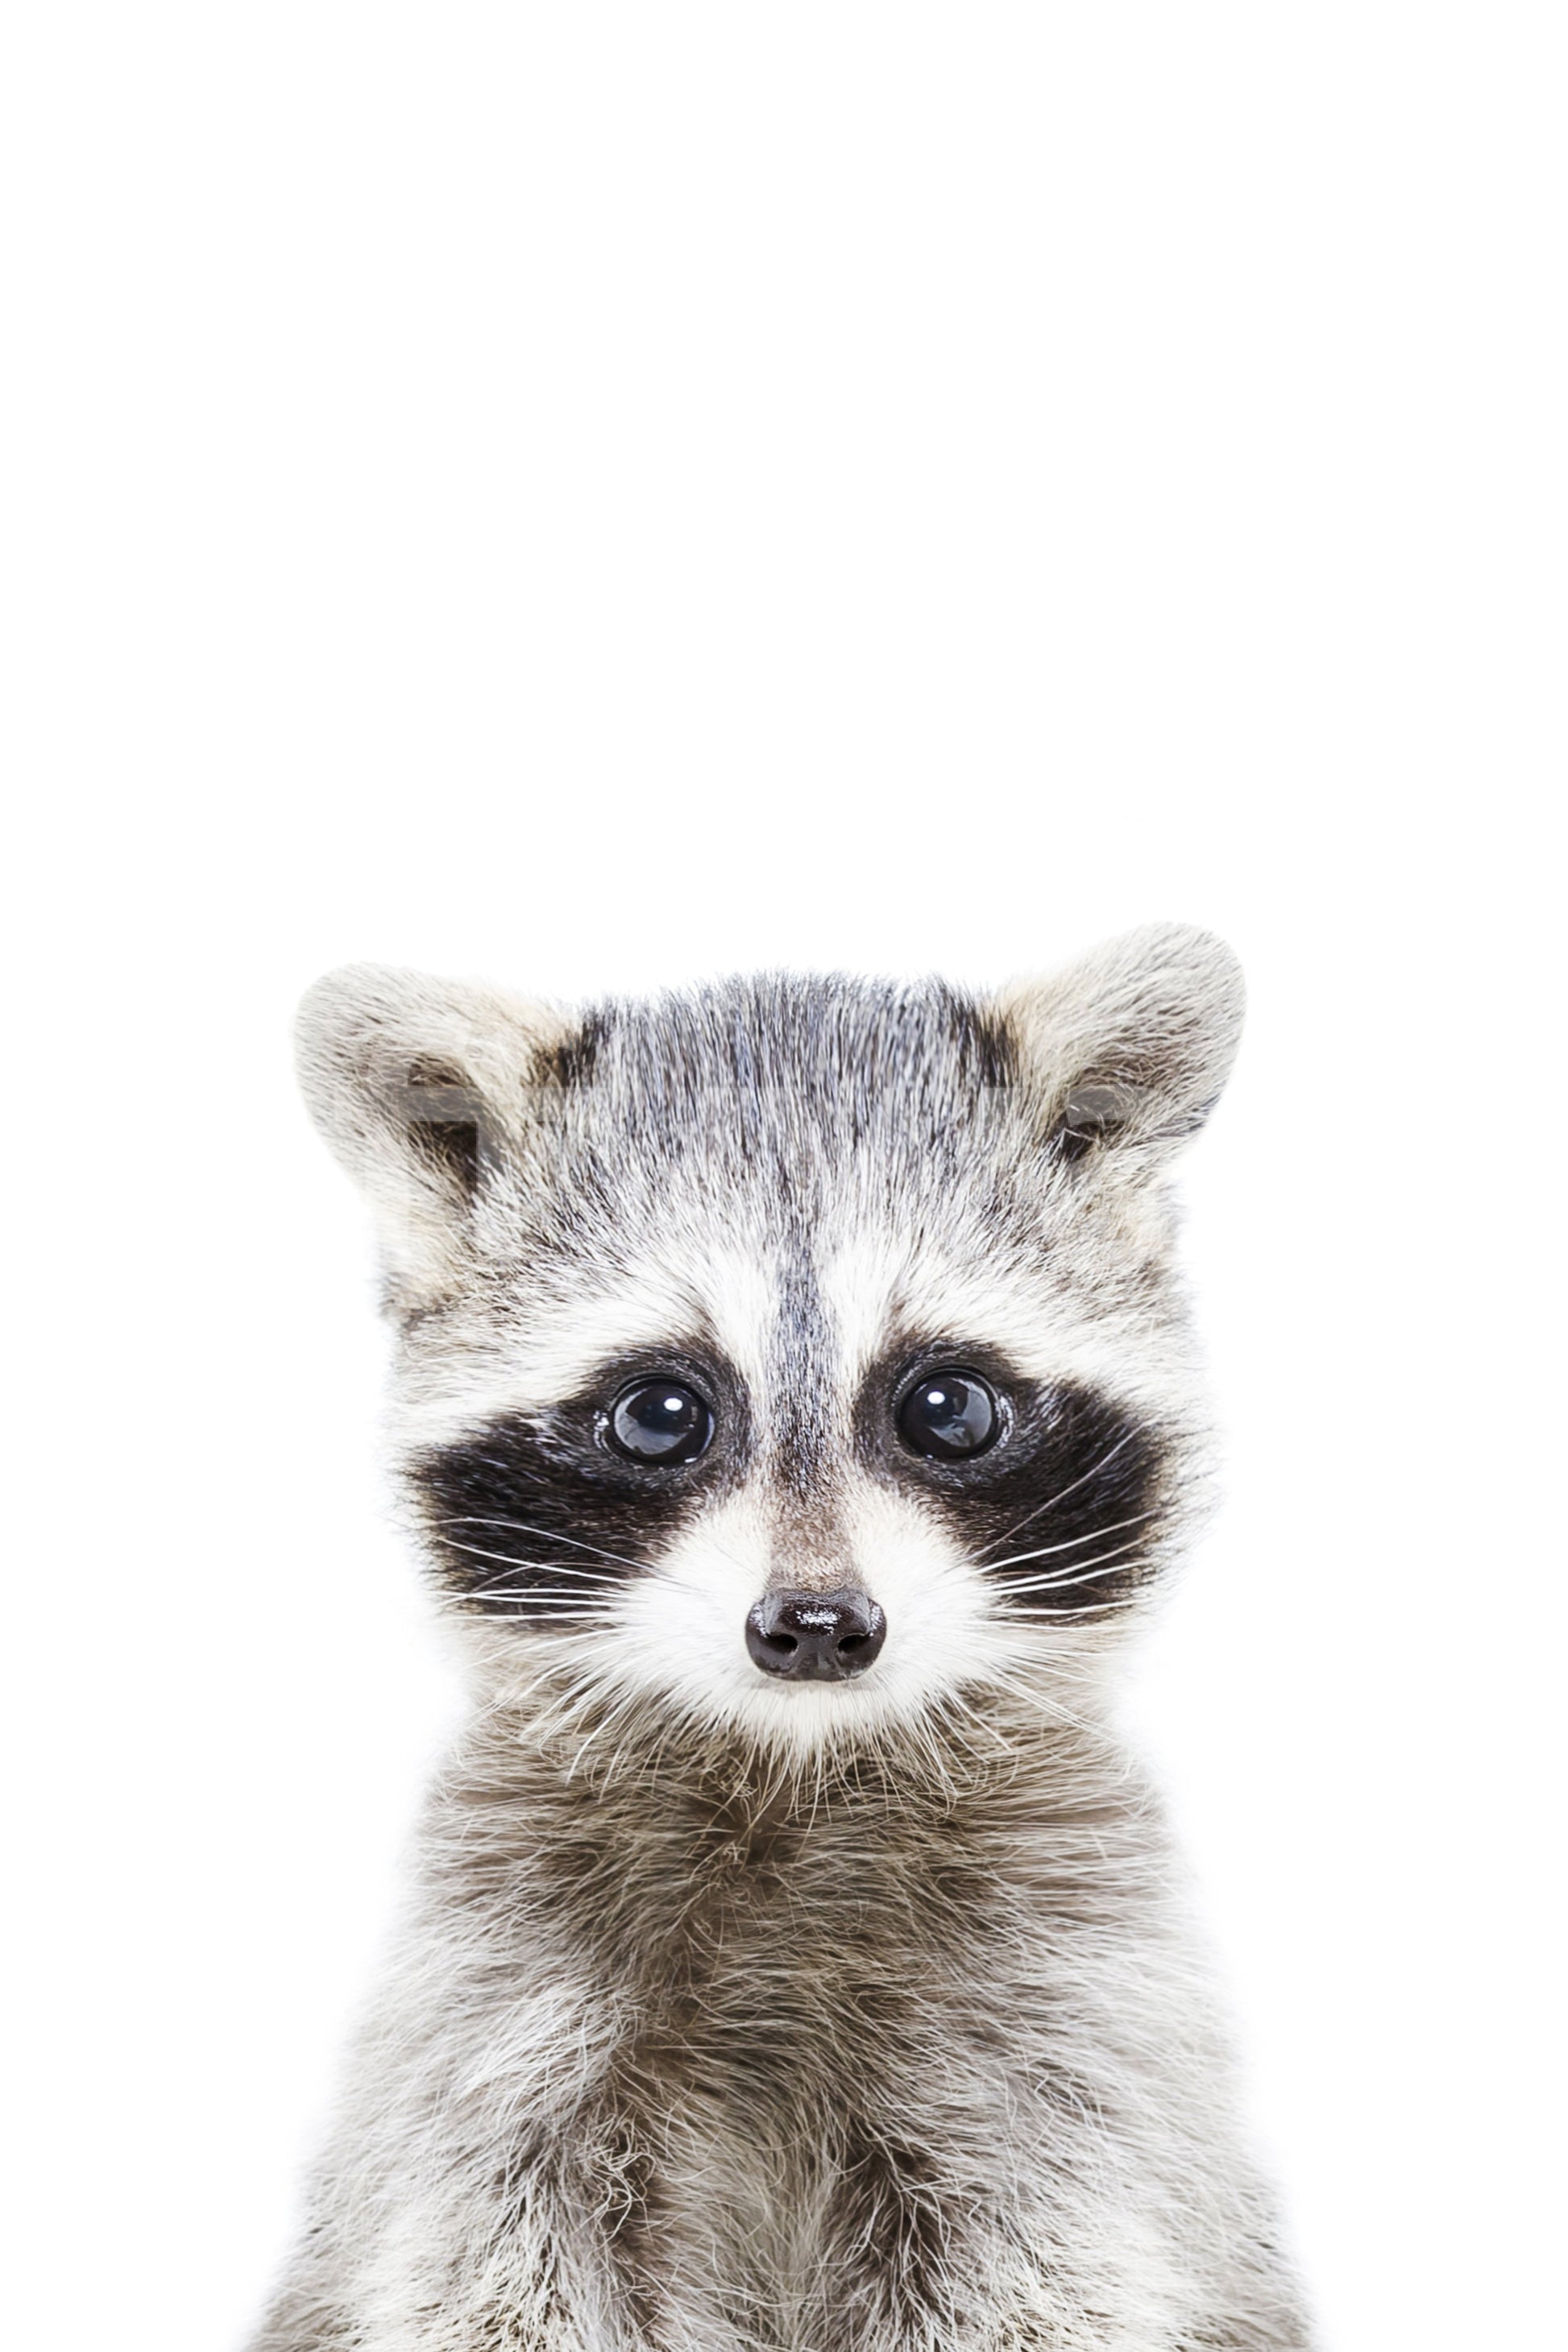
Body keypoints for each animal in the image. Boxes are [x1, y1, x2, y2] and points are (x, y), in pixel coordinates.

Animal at [251, 925, 1312, 2352]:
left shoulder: (1070, 2020)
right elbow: (485, 2261)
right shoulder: (494, 2009)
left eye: (946, 1404)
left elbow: (1050, 2263)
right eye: (658, 1411)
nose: (815, 1625)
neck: (793, 1764)